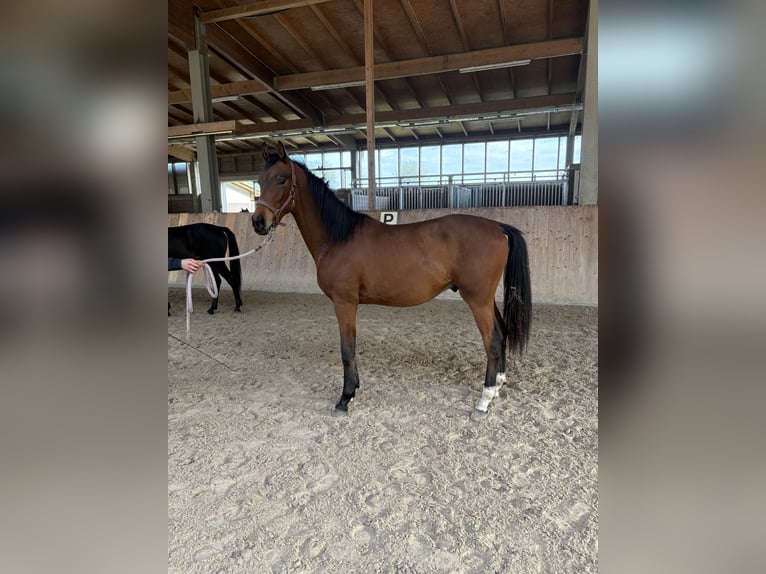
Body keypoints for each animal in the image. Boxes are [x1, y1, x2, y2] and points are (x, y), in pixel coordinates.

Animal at [255, 143, 532, 414]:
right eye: (259, 180)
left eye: (281, 179)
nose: (258, 221)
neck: (338, 237)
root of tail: (498, 227)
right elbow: (351, 348)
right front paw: (354, 389)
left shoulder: (344, 303)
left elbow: (347, 350)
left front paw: (345, 398)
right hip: (486, 299)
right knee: (502, 333)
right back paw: (497, 384)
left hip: (477, 300)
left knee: (492, 341)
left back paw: (484, 399)